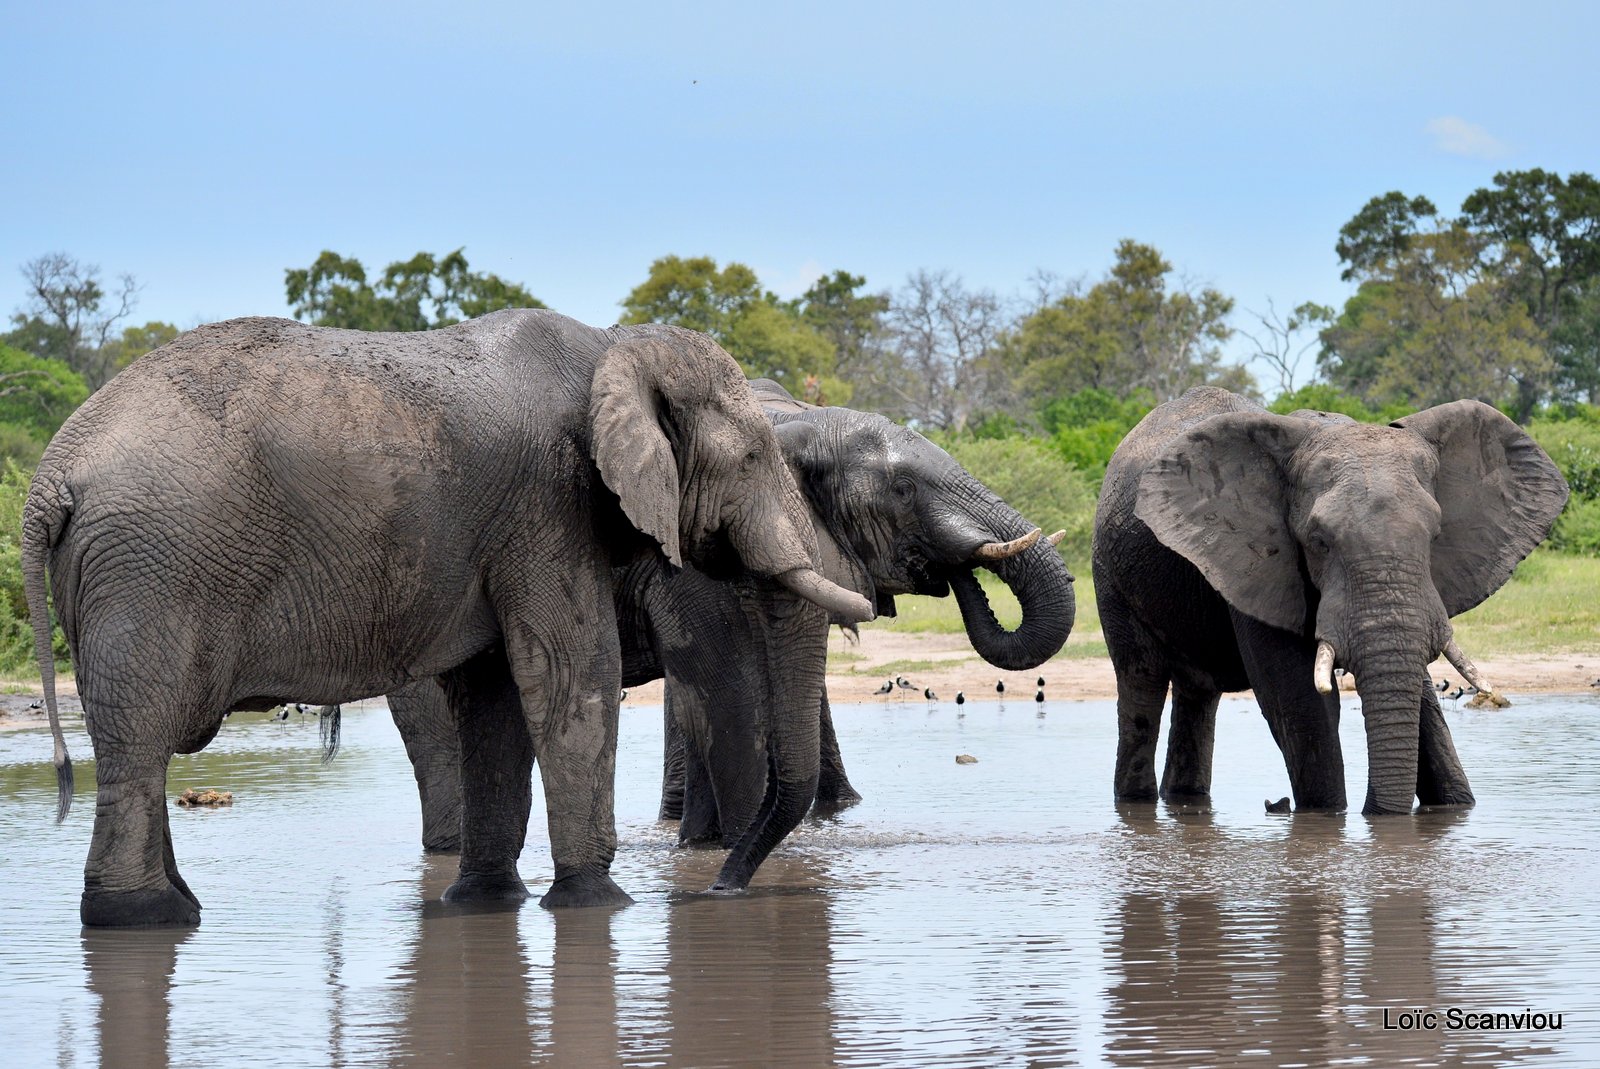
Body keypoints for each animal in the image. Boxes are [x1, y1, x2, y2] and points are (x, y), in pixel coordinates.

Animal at [21, 307, 876, 928]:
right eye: (754, 459)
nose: (719, 890)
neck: (617, 346)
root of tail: (50, 477)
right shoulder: (547, 503)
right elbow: (571, 674)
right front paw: (597, 903)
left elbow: (497, 693)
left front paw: (488, 903)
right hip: (150, 571)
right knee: (141, 740)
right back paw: (144, 918)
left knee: (142, 742)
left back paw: (178, 913)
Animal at [385, 382, 1075, 876]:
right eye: (903, 488)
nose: (955, 569)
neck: (795, 424)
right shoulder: (694, 563)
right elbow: (731, 696)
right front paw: (743, 857)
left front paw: (706, 849)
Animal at [1094, 388, 1568, 812]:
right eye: (1318, 542)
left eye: (1435, 536)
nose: (1377, 811)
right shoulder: (1258, 562)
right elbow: (1301, 700)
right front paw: (1328, 817)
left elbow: (1421, 697)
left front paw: (1449, 807)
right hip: (1109, 576)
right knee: (1141, 686)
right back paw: (1135, 802)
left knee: (1197, 694)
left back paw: (1186, 801)